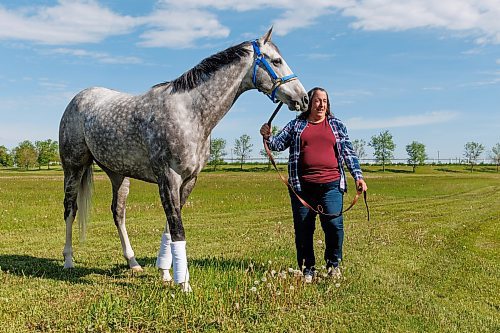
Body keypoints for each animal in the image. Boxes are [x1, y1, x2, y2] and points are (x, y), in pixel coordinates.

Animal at [59, 28, 308, 290]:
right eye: (276, 61)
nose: (303, 99)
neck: (189, 113)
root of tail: (79, 98)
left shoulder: (189, 180)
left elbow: (170, 227)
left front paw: (166, 273)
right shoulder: (169, 178)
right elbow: (178, 230)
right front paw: (184, 284)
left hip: (118, 174)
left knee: (118, 213)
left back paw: (133, 262)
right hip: (74, 168)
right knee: (70, 209)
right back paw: (68, 260)